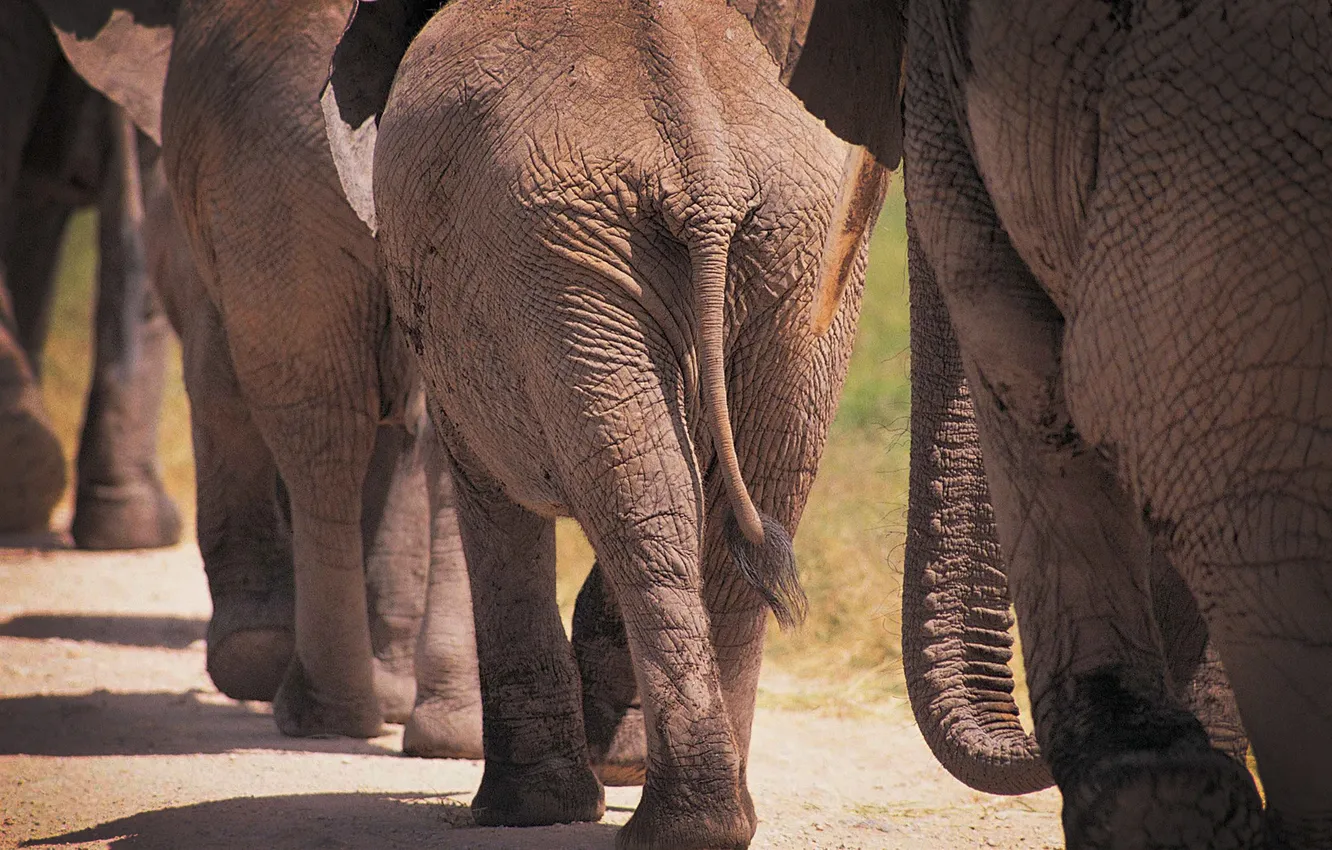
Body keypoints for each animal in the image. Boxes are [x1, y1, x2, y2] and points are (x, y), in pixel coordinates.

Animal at [323, 0, 889, 845]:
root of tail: (706, 167)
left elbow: (486, 490)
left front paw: (524, 813)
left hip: (559, 259)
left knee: (644, 504)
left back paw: (669, 825)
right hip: (788, 256)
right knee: (736, 496)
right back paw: (714, 822)